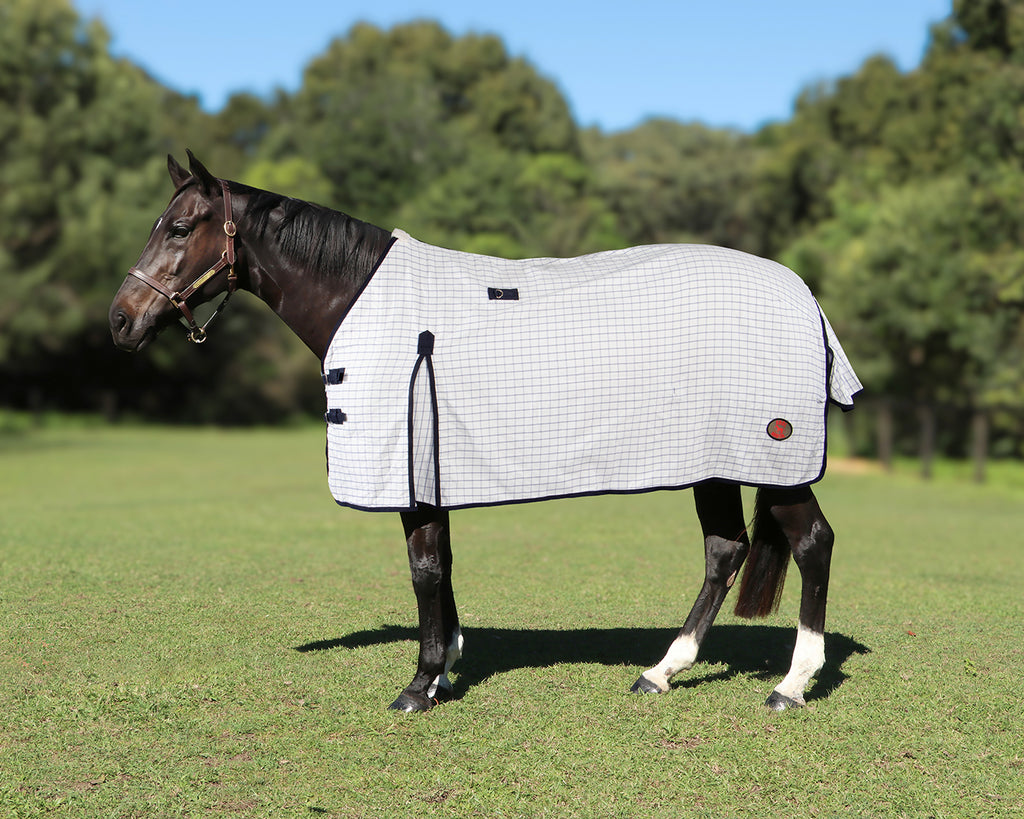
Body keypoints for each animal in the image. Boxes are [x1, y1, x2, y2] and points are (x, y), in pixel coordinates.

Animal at [109, 151, 861, 713]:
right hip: (715, 462)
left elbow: (423, 567)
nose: (120, 320)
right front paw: (445, 666)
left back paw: (792, 683)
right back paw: (661, 671)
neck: (364, 300)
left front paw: (420, 683)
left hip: (774, 457)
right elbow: (440, 566)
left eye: (181, 228)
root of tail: (807, 298)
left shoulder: (410, 473)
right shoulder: (432, 471)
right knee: (724, 550)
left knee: (812, 543)